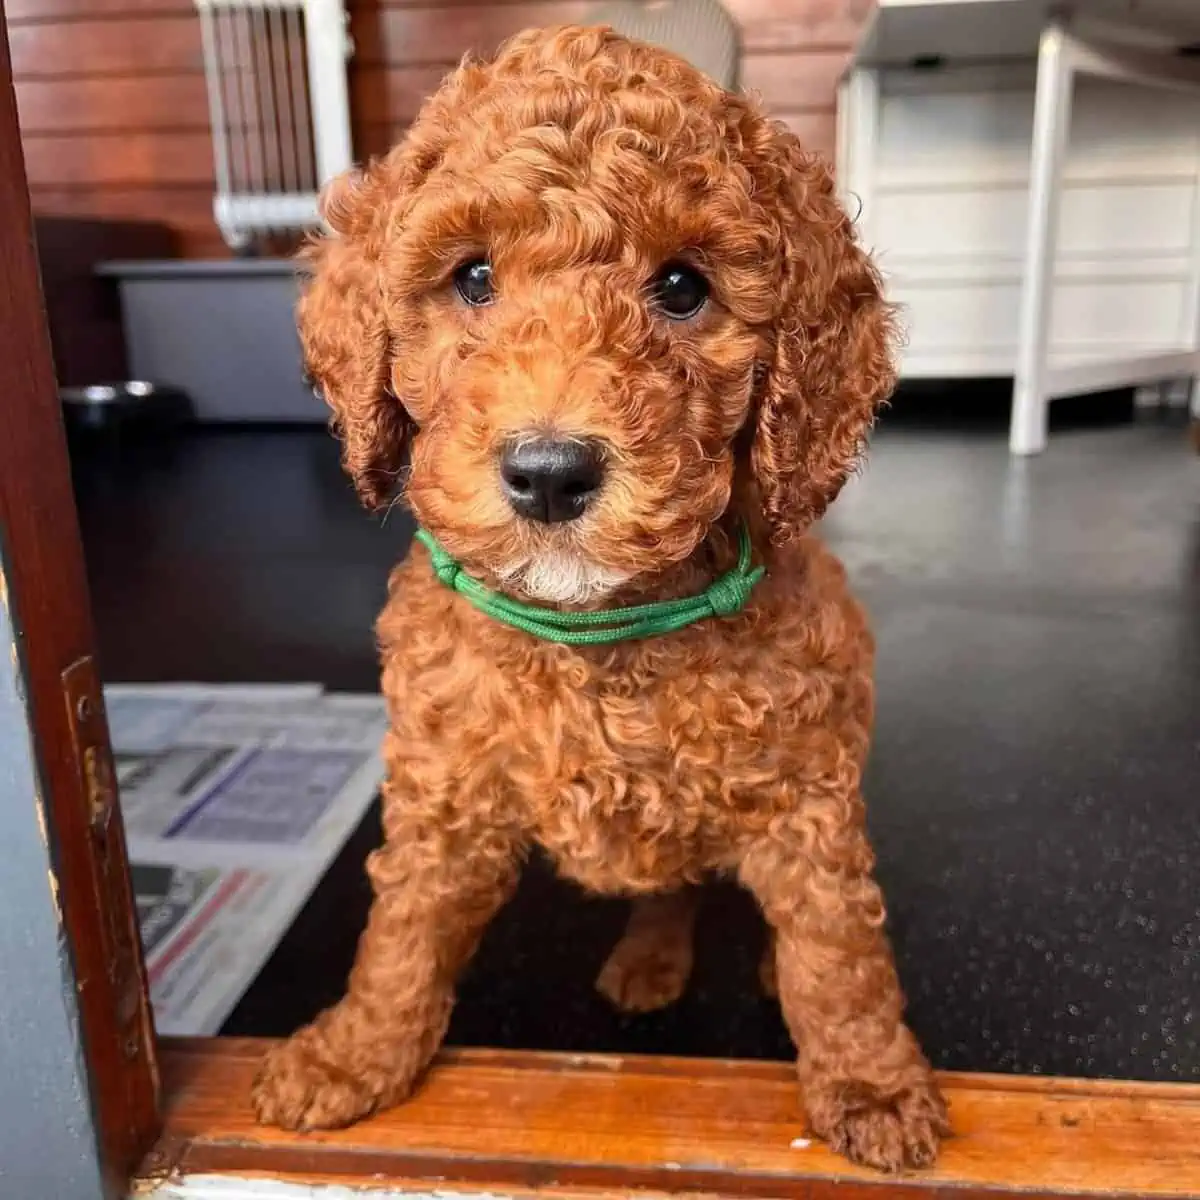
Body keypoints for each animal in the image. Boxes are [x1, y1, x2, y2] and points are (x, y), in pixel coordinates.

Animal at [258, 25, 950, 1171]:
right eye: (474, 277)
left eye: (681, 288)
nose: (548, 473)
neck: (597, 635)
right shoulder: (444, 795)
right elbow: (402, 933)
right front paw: (355, 1055)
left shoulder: (804, 795)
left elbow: (836, 947)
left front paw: (871, 1084)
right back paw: (649, 962)